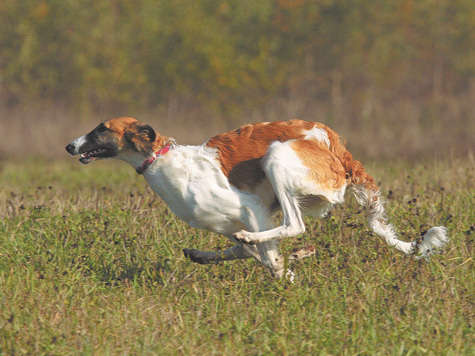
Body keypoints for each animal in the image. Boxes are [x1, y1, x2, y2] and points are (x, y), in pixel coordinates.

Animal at [66, 117, 450, 278]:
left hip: (277, 158)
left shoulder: (251, 208)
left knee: (293, 225)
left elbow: (266, 254)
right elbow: (249, 252)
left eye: (102, 128)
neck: (161, 160)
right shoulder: (230, 222)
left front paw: (286, 270)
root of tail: (335, 145)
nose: (70, 145)